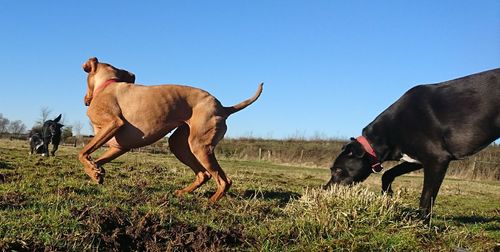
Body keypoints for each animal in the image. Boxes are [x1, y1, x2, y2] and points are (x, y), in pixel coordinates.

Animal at [79, 57, 262, 203]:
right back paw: (183, 192)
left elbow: (82, 153)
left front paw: (94, 171)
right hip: (180, 145)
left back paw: (211, 202)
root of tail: (223, 108)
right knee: (203, 174)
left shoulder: (113, 124)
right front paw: (96, 172)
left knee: (224, 180)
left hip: (200, 147)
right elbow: (95, 159)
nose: (85, 100)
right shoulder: (118, 147)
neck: (108, 84)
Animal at [326, 68, 498, 219]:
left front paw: (421, 224)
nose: (325, 190)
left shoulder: (437, 160)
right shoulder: (415, 160)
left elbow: (426, 199)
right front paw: (387, 195)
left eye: (338, 171)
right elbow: (388, 174)